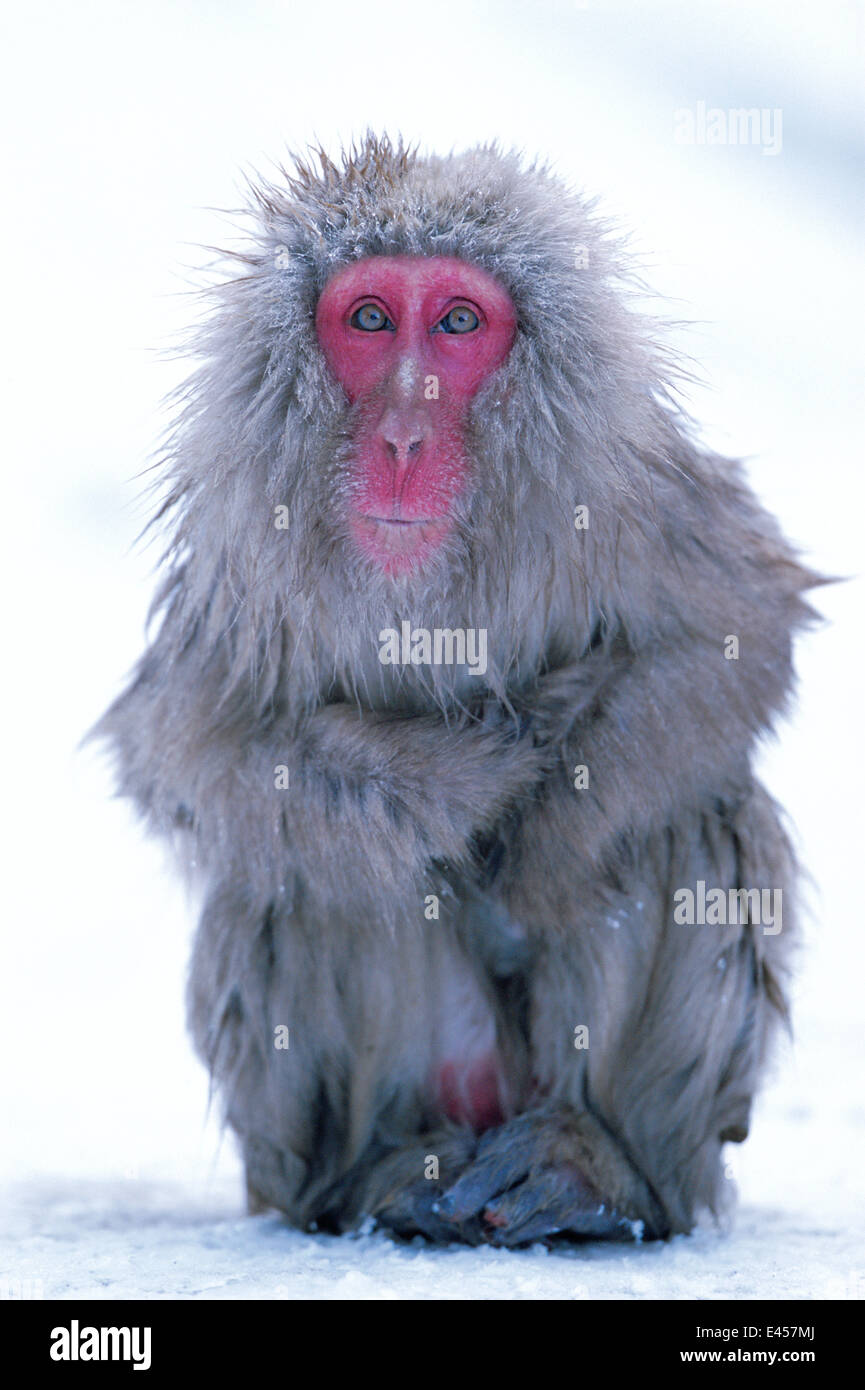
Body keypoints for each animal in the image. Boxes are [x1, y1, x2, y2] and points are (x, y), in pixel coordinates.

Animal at [94, 135, 817, 1245]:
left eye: (458, 324)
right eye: (369, 319)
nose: (403, 432)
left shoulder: (626, 492)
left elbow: (733, 632)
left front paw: (542, 845)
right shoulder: (245, 562)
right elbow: (192, 746)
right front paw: (464, 779)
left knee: (685, 807)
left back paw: (601, 1176)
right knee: (305, 861)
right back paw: (375, 1179)